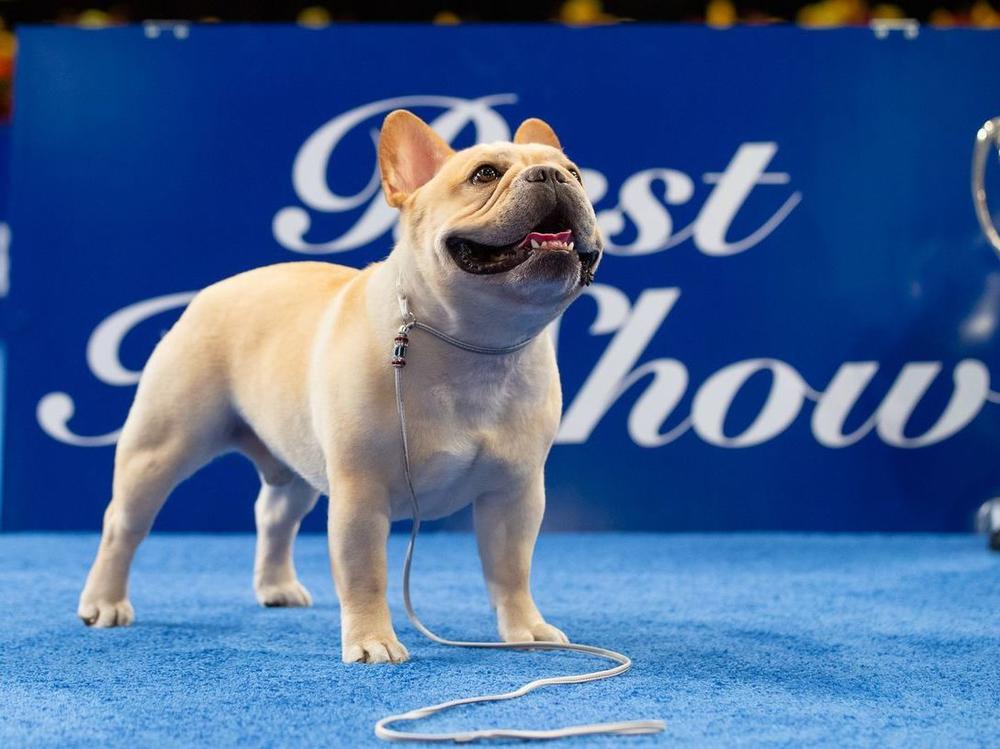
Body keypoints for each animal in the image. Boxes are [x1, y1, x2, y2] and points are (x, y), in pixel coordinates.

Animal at [78, 109, 600, 660]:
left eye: (575, 173)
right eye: (484, 174)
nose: (552, 176)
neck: (474, 345)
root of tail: (210, 292)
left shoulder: (514, 494)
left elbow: (511, 571)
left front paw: (526, 630)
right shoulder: (360, 493)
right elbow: (365, 572)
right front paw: (372, 641)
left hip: (296, 463)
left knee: (274, 515)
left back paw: (277, 587)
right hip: (160, 449)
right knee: (122, 526)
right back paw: (104, 602)